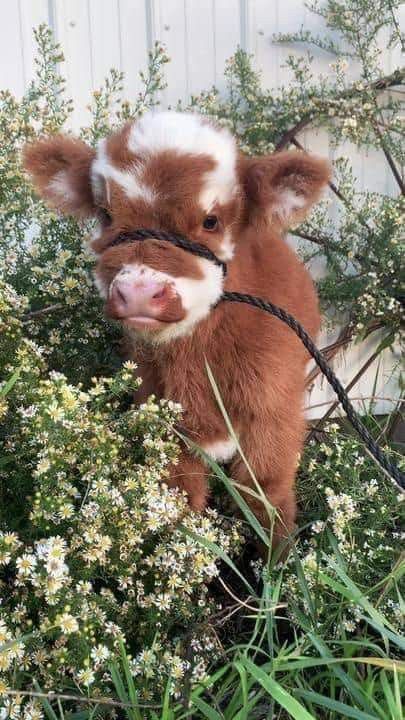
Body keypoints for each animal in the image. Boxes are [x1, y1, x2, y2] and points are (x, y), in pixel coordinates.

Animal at [23, 111, 331, 544]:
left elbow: (266, 499)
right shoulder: (167, 425)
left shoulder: (275, 416)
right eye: (106, 215)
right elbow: (180, 505)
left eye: (211, 221)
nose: (138, 291)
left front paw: (276, 560)